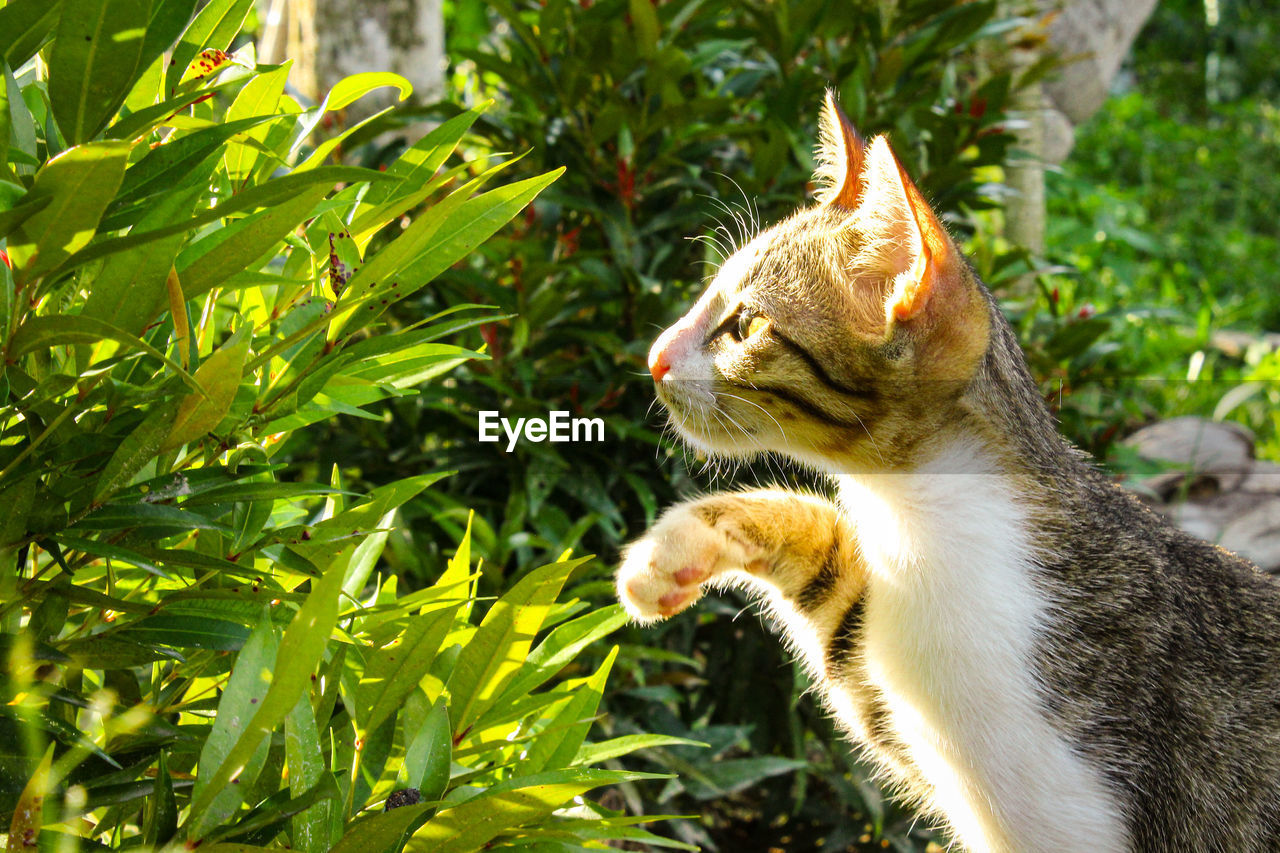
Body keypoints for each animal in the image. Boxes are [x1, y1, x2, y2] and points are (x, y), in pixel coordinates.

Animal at [614, 89, 1280, 845]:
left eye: (745, 326)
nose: (653, 356)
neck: (916, 523)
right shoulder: (898, 699)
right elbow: (837, 589)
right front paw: (673, 550)